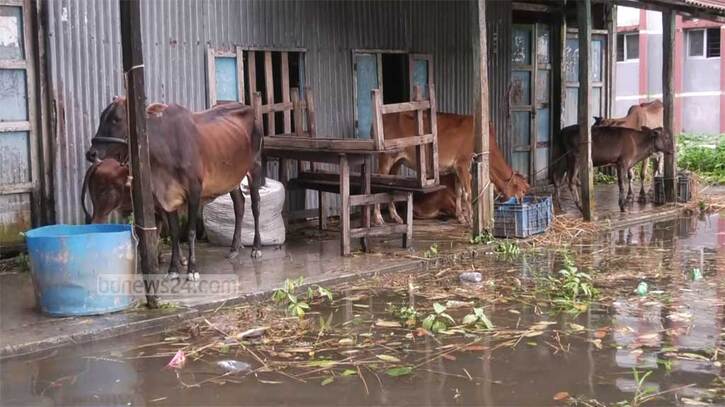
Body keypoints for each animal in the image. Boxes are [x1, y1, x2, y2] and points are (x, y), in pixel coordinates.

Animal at [85, 99, 264, 282]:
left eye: (116, 119)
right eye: (102, 117)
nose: (91, 154)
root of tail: (246, 106)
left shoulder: (194, 191)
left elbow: (191, 232)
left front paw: (192, 269)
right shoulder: (167, 198)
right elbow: (174, 232)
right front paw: (173, 269)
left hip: (255, 167)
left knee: (255, 206)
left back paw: (256, 248)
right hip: (231, 178)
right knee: (239, 205)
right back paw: (234, 248)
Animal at [374, 114, 528, 226]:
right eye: (522, 191)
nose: (522, 204)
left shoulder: (455, 169)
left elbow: (459, 192)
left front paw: (461, 218)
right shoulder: (463, 164)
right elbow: (467, 193)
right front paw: (471, 220)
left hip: (397, 162)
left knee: (389, 186)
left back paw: (396, 217)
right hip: (385, 158)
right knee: (377, 185)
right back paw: (379, 218)